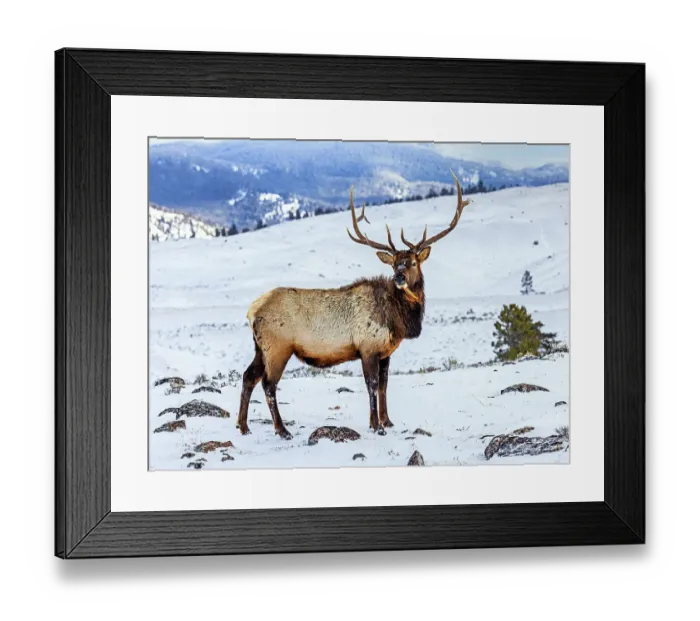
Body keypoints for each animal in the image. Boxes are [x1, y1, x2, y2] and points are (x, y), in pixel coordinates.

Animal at [237, 171, 471, 440]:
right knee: (268, 383)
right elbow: (371, 386)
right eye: (394, 264)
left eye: (412, 262)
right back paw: (282, 429)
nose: (399, 277)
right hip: (278, 347)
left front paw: (388, 421)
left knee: (248, 376)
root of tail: (252, 311)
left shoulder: (385, 352)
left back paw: (243, 426)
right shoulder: (367, 347)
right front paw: (376, 425)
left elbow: (384, 385)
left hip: (260, 348)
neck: (397, 320)